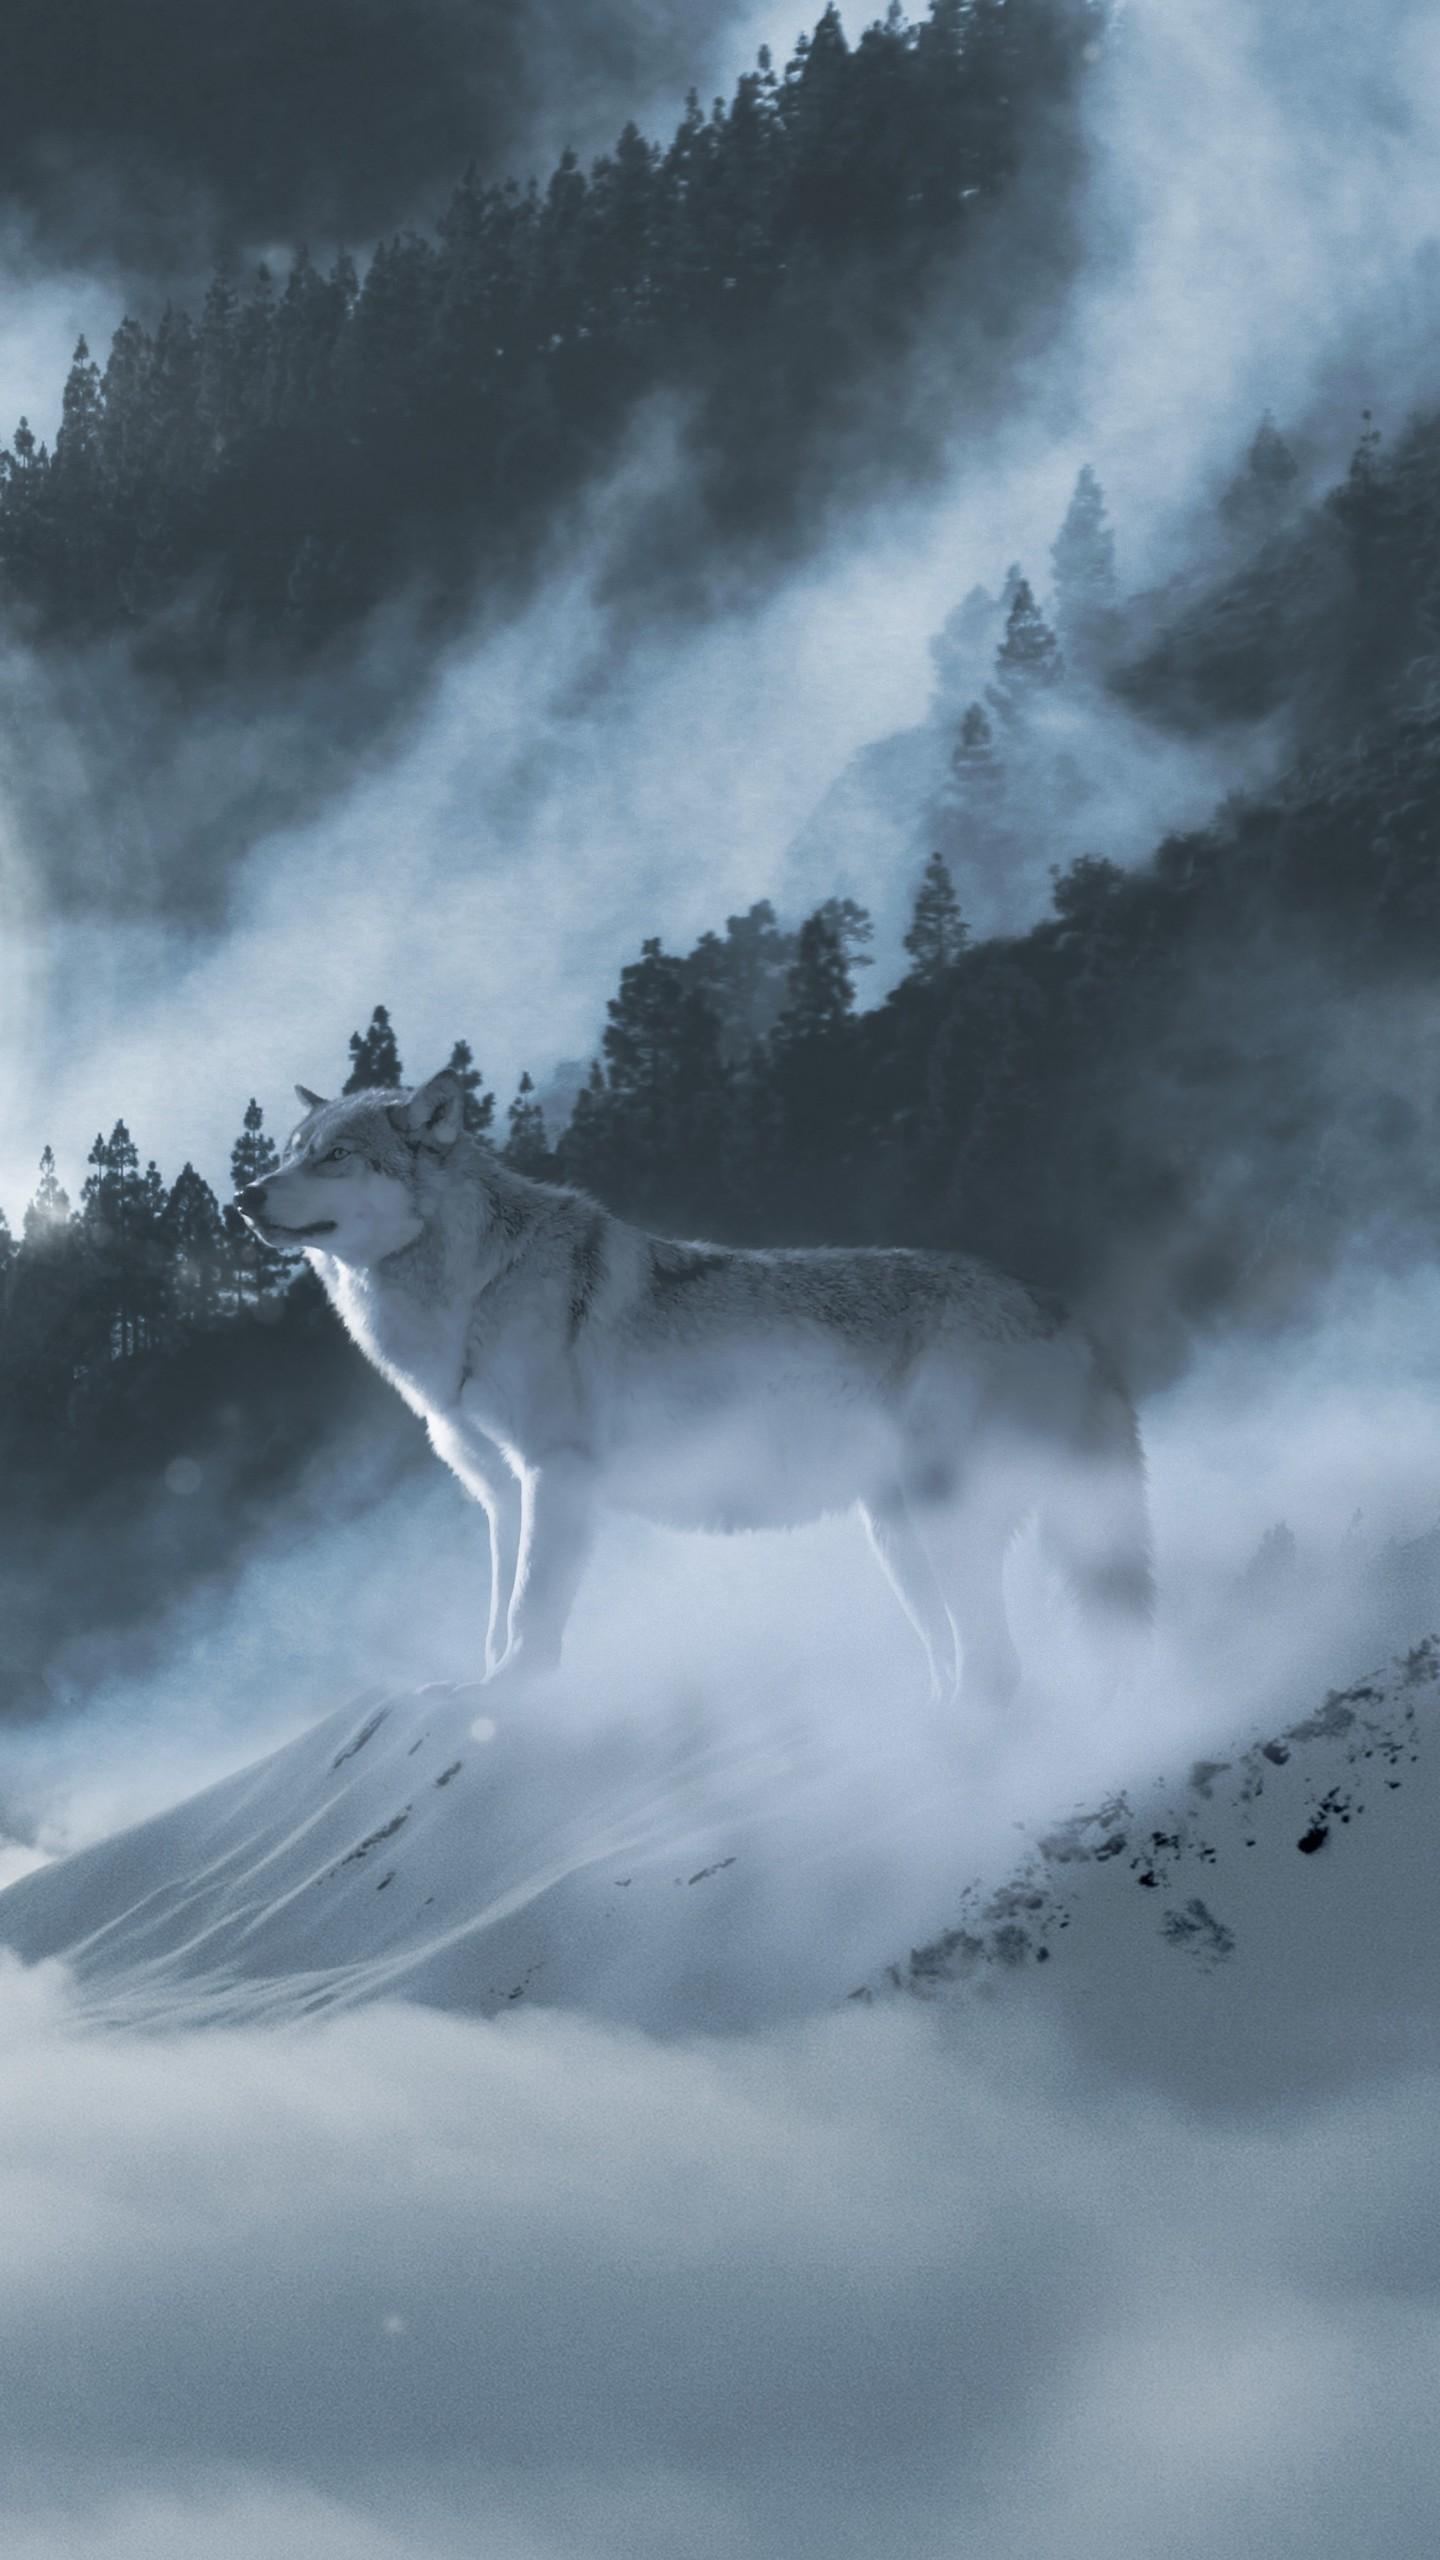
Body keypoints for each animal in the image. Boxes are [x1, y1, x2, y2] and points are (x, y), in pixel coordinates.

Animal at [237, 1067, 1152, 1702]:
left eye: (336, 1156)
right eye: (287, 1153)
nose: (244, 1196)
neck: (467, 1296)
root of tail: (1065, 1311)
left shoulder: (556, 1476)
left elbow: (531, 1614)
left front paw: (513, 1699)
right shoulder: (500, 1495)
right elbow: (496, 1618)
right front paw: (477, 1689)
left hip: (943, 1525)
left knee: (999, 1666)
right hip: (897, 1541)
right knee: (966, 1660)